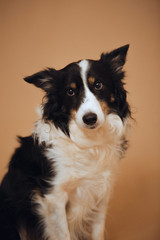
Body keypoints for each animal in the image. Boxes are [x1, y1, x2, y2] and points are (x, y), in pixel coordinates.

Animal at [0, 45, 130, 240]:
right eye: (70, 91)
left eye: (98, 85)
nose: (89, 119)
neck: (87, 142)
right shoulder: (54, 197)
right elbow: (63, 233)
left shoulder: (101, 192)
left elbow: (98, 232)